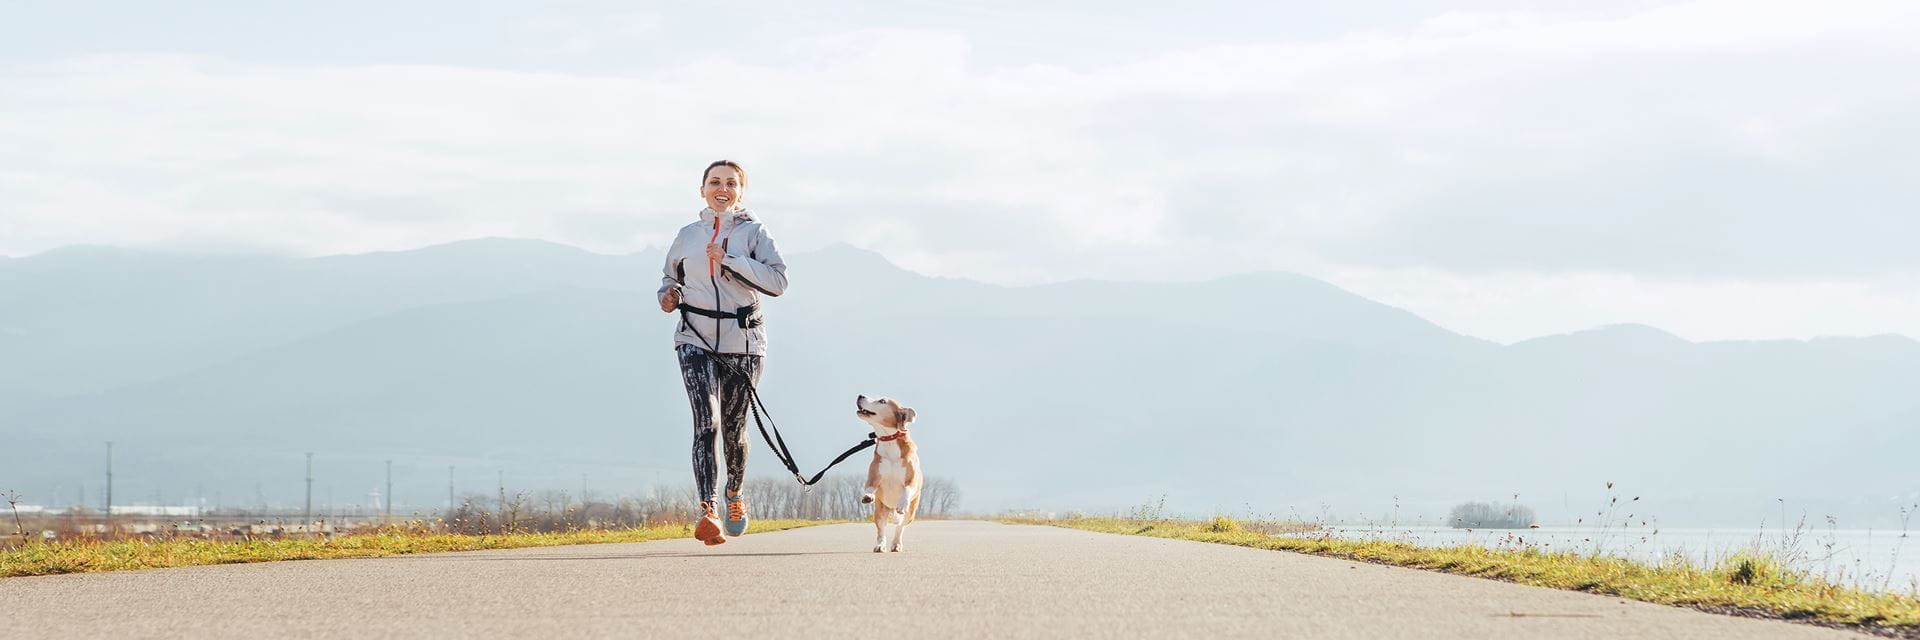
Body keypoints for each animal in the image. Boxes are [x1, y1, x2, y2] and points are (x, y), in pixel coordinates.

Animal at [860, 392, 917, 549]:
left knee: (900, 527)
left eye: (882, 401)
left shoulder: (912, 480)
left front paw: (902, 504)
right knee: (881, 530)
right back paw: (880, 545)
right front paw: (868, 496)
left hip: (911, 514)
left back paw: (896, 544)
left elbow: (907, 489)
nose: (860, 395)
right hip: (879, 511)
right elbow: (869, 486)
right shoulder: (874, 476)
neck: (889, 440)